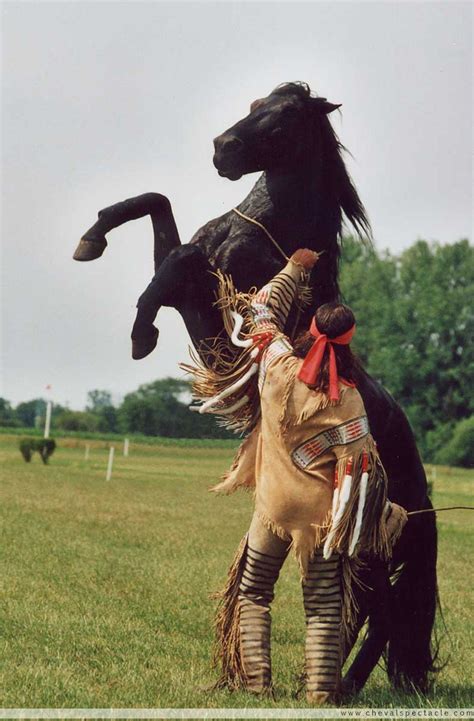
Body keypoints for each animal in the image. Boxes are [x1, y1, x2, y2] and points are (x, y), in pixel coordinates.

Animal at [72, 81, 438, 696]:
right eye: (254, 105)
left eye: (286, 118)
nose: (223, 149)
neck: (266, 231)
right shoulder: (194, 296)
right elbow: (158, 207)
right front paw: (90, 239)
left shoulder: (220, 319)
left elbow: (175, 260)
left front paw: (141, 334)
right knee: (368, 609)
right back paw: (332, 681)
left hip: (369, 547)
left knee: (383, 614)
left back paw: (341, 686)